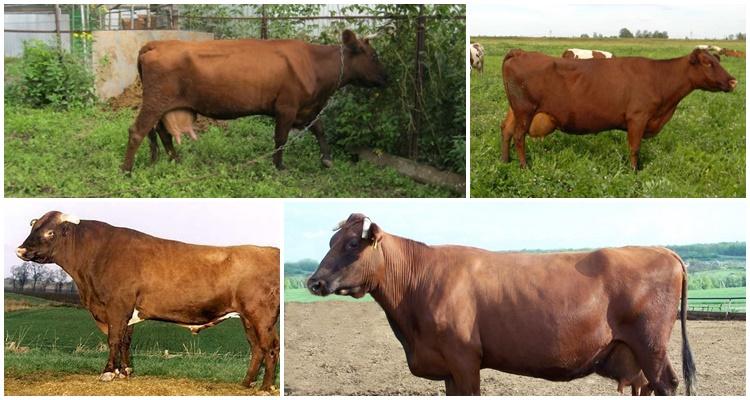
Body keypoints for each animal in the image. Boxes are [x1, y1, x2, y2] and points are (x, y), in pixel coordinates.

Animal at [16, 211, 280, 390]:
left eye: (50, 232)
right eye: (33, 228)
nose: (20, 250)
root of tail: (270, 250)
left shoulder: (117, 306)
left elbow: (113, 339)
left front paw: (108, 373)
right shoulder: (126, 311)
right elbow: (125, 340)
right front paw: (125, 371)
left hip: (261, 315)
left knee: (270, 348)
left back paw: (266, 387)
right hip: (247, 318)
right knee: (257, 348)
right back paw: (246, 383)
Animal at [121, 29, 387, 173]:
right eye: (374, 56)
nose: (388, 78)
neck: (315, 65)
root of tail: (156, 43)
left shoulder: (306, 108)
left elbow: (320, 130)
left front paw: (327, 159)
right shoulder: (287, 107)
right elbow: (281, 138)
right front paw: (279, 166)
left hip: (163, 104)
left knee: (161, 132)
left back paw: (174, 160)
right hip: (156, 100)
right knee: (137, 131)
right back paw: (127, 170)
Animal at [307, 213, 696, 396]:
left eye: (351, 245)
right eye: (330, 242)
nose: (314, 281)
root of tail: (664, 251)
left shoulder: (464, 360)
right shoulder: (449, 368)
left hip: (650, 346)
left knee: (667, 383)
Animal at [501, 48, 737, 169]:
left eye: (718, 60)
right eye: (707, 63)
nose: (733, 81)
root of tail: (520, 52)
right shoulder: (638, 117)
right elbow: (634, 148)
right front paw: (634, 172)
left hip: (516, 110)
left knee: (506, 130)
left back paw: (505, 161)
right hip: (525, 110)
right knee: (519, 136)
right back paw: (524, 167)